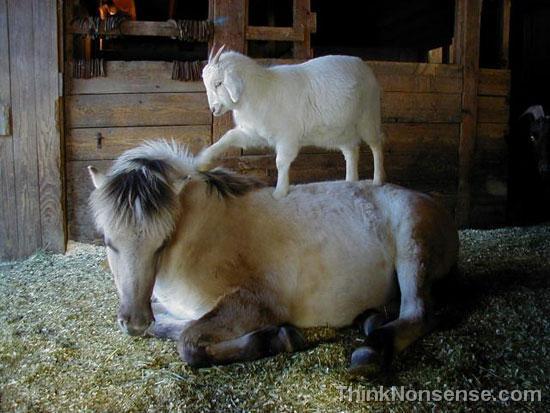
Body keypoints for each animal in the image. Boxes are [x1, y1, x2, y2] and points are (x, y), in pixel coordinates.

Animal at [89, 140, 462, 374]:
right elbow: (171, 326)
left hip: (412, 248)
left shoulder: (257, 302)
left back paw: (369, 352)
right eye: (108, 242)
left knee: (419, 313)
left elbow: (189, 341)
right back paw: (370, 321)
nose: (134, 322)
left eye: (162, 243)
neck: (204, 234)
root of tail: (435, 204)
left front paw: (276, 338)